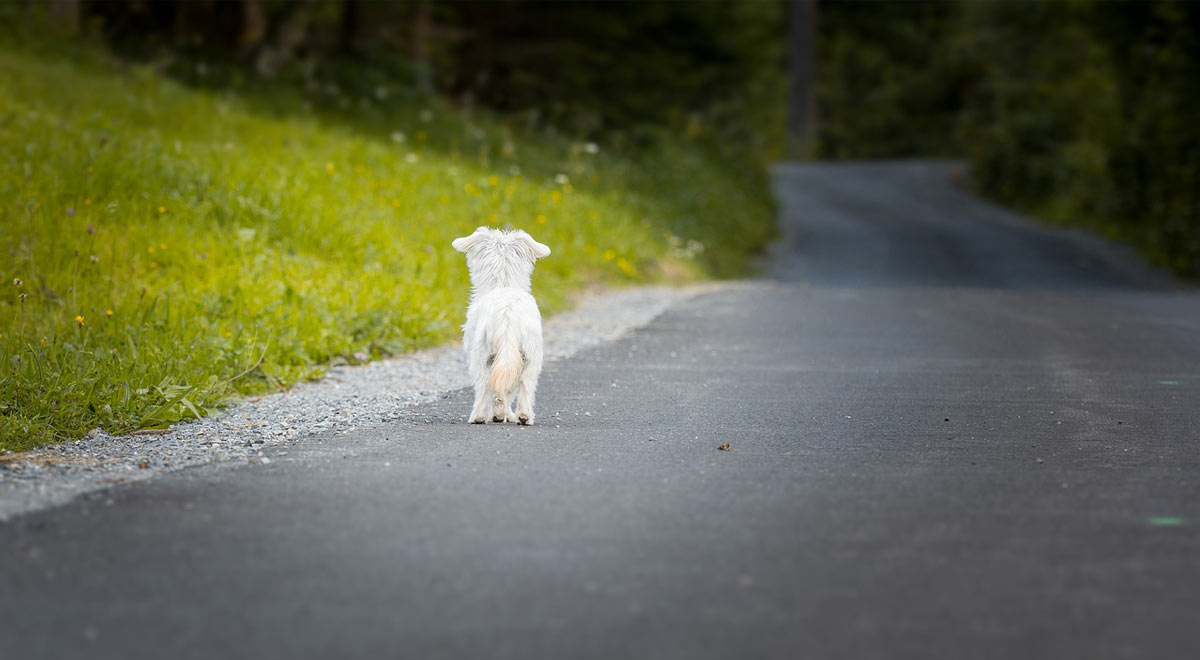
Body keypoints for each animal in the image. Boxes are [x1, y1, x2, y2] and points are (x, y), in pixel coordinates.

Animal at [451, 225, 549, 427]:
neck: (503, 284)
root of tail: (507, 314)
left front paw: (497, 415)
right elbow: (506, 390)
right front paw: (504, 414)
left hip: (481, 356)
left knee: (483, 387)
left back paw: (479, 416)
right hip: (531, 357)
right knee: (525, 387)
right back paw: (524, 416)